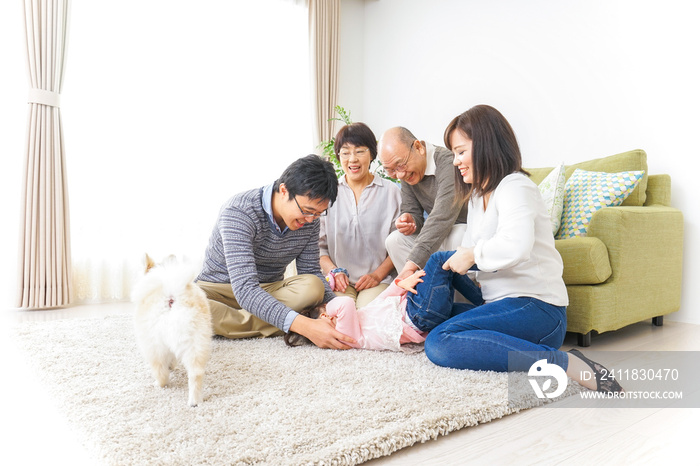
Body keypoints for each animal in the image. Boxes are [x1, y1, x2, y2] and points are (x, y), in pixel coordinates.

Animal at [131, 255, 212, 408]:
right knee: (196, 373)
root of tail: (172, 296)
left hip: (154, 345)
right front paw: (172, 366)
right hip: (196, 341)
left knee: (160, 371)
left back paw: (158, 384)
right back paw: (195, 401)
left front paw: (169, 368)